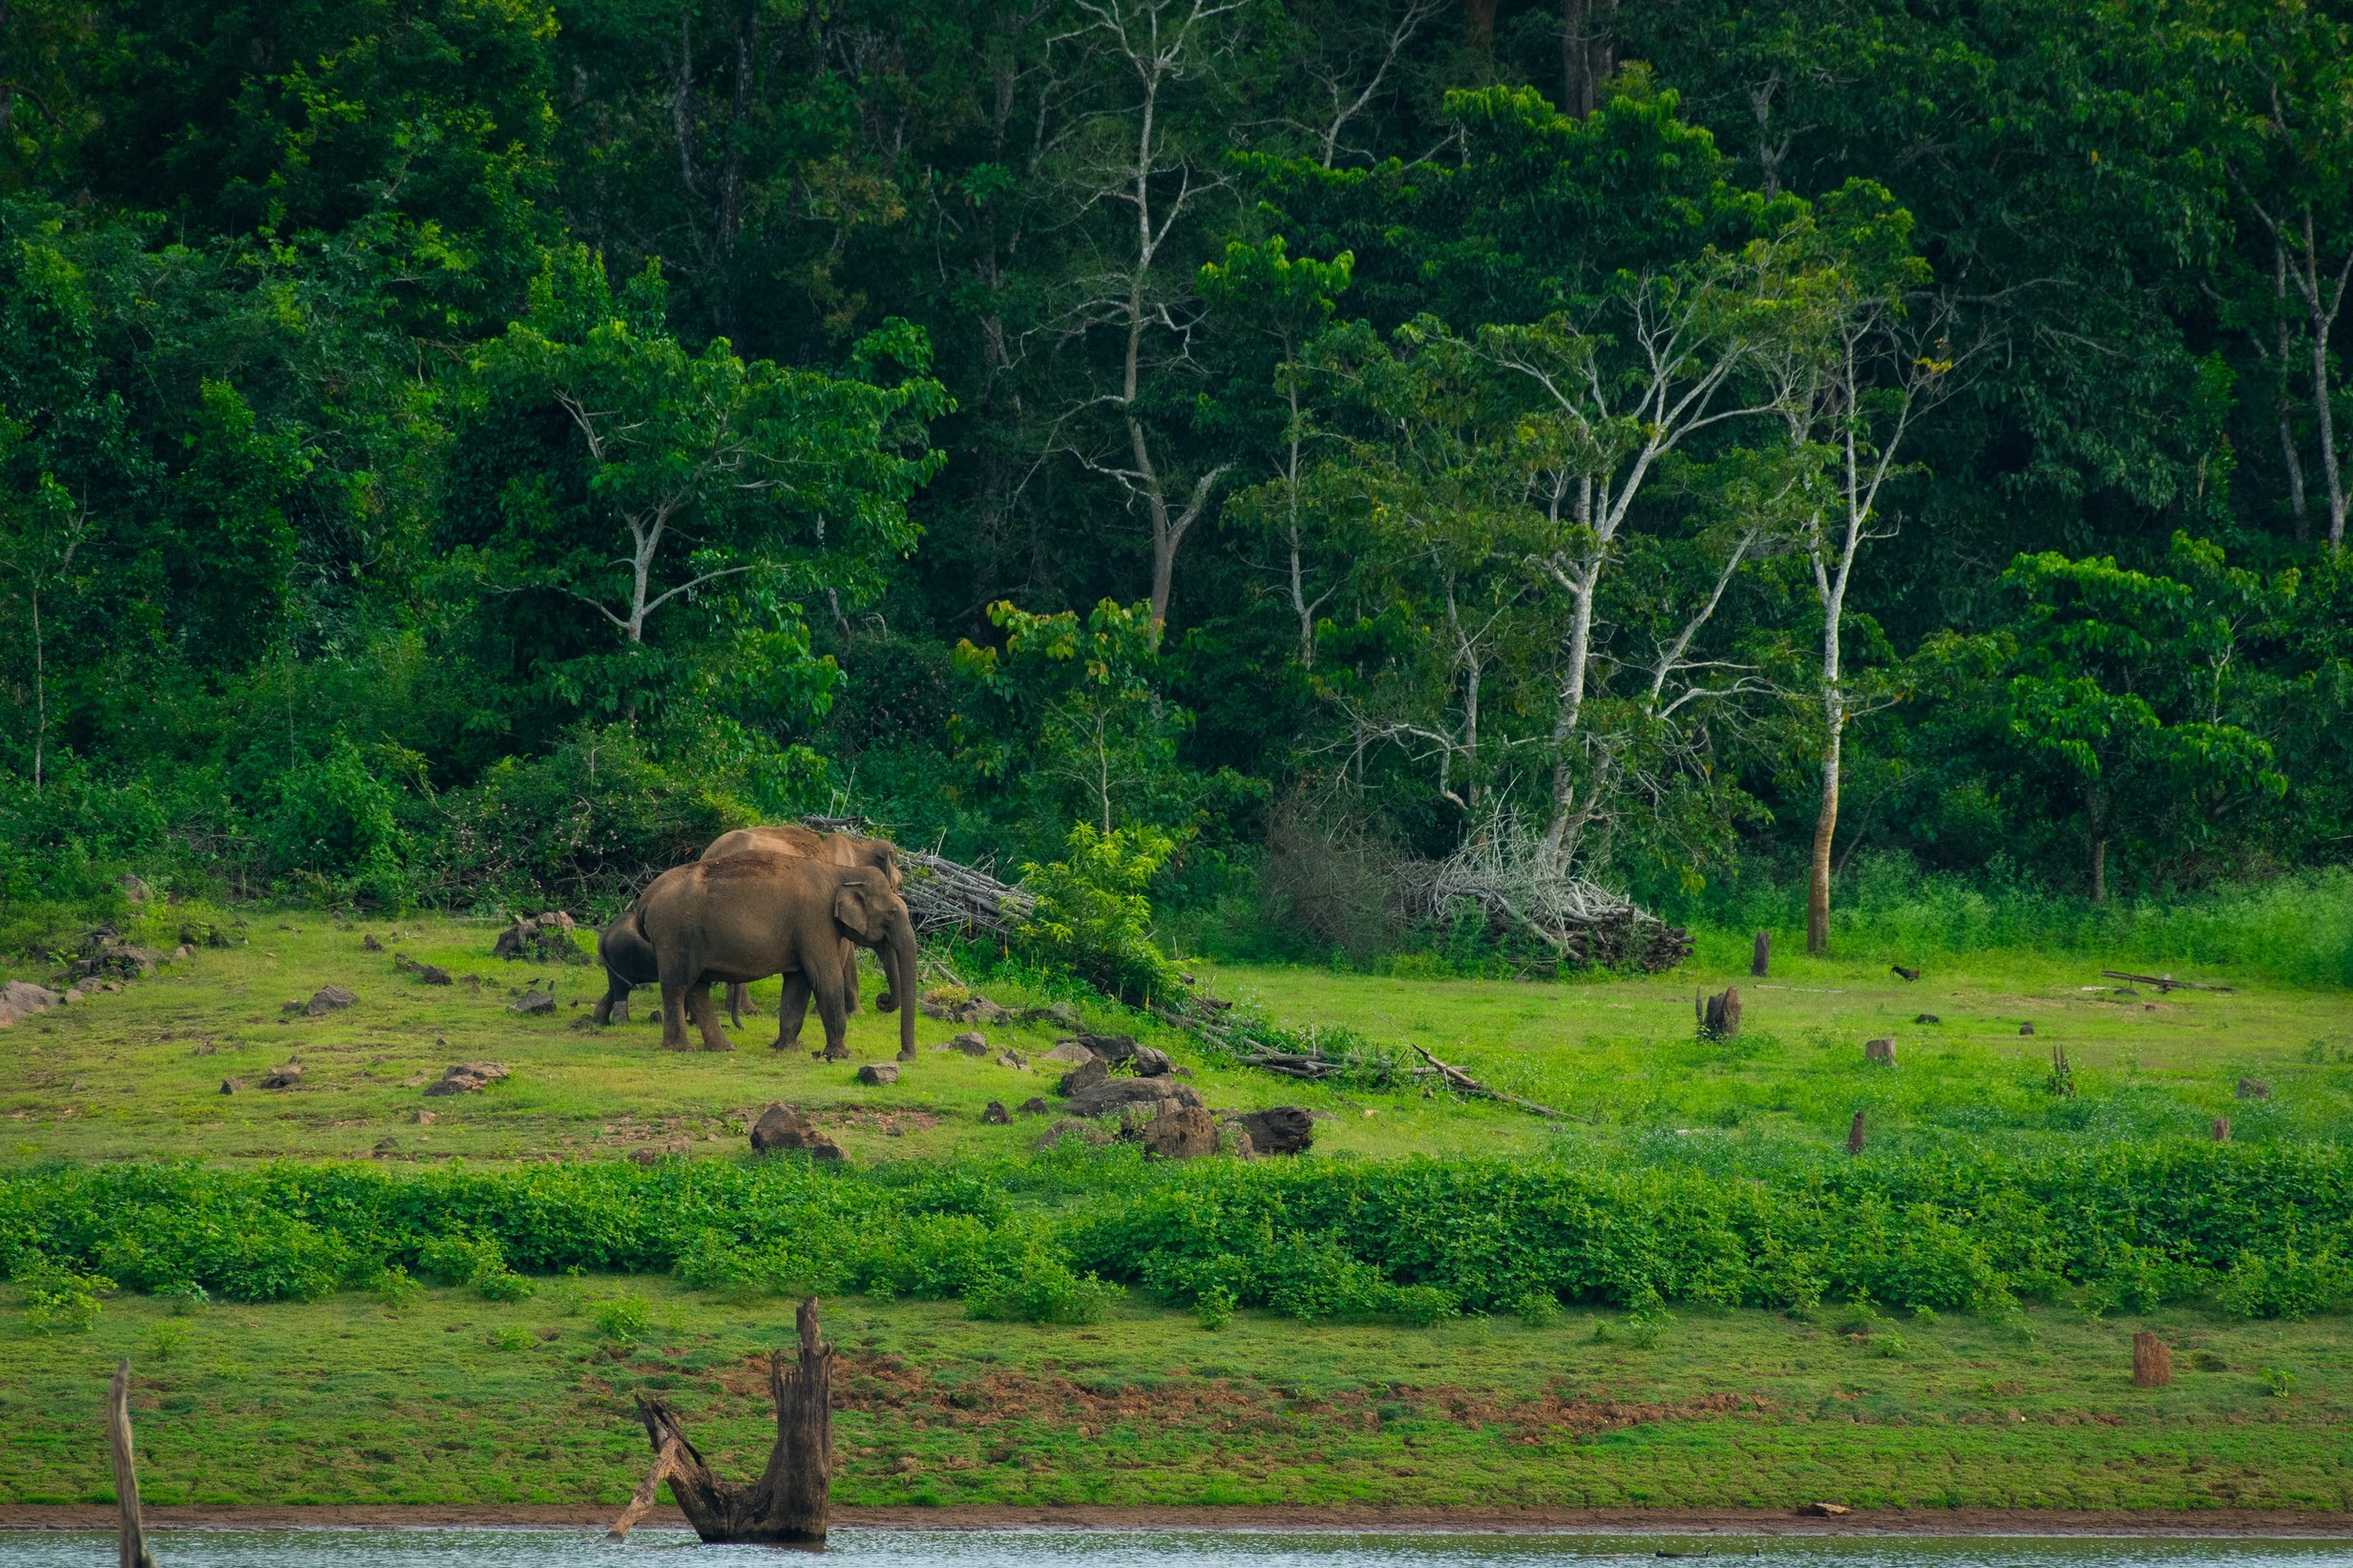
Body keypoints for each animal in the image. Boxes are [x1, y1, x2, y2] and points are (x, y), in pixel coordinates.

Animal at [630, 850, 913, 1062]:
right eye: (892, 913)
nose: (902, 1056)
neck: (841, 872)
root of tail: (645, 900)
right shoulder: (815, 922)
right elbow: (825, 978)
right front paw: (840, 1055)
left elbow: (798, 984)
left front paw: (788, 1048)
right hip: (675, 934)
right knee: (677, 986)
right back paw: (681, 1048)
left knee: (697, 987)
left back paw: (723, 1048)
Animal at [696, 823, 898, 1029]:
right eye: (895, 887)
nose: (882, 1001)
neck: (858, 845)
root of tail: (710, 852)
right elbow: (845, 949)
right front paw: (851, 1012)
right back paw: (749, 1010)